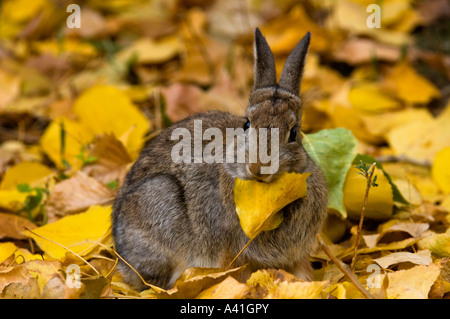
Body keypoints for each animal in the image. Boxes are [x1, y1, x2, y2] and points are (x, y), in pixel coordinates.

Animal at [110, 28, 328, 292]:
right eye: (247, 124)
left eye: (294, 133)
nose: (258, 167)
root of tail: (122, 259)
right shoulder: (232, 253)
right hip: (158, 199)